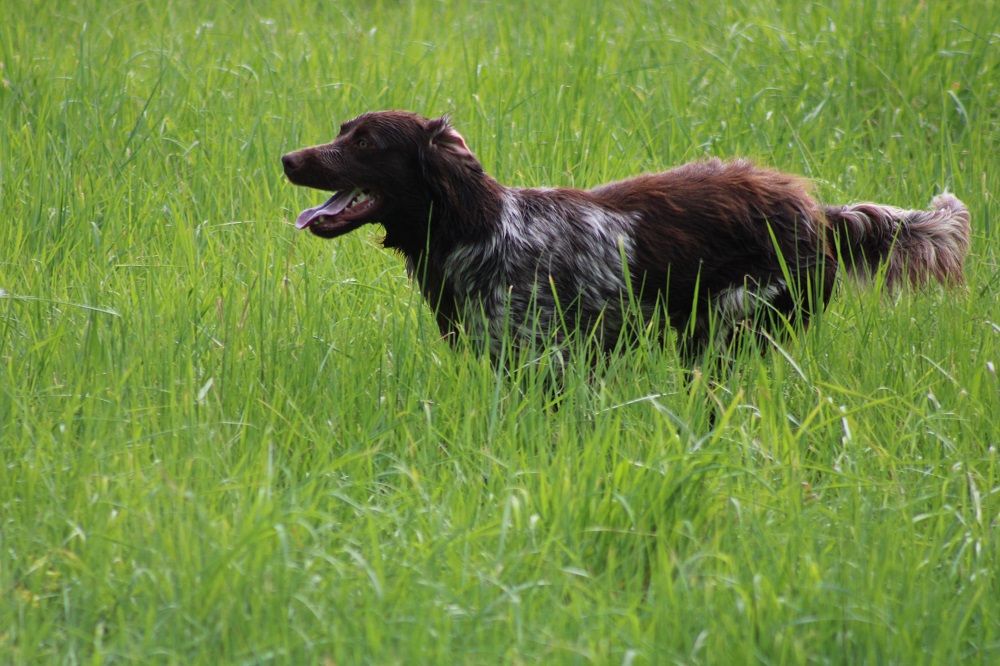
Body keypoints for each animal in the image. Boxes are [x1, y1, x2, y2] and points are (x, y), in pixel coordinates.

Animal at [282, 113, 968, 364]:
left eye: (366, 141)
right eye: (341, 130)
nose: (288, 158)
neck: (481, 231)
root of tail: (817, 211)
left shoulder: (553, 361)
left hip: (728, 328)